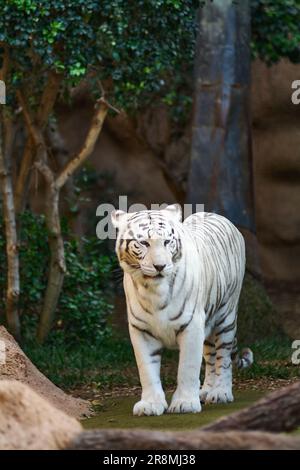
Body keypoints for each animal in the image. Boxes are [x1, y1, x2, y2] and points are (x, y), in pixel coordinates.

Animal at [111, 204, 252, 416]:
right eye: (143, 243)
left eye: (166, 241)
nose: (160, 266)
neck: (154, 291)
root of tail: (217, 216)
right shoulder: (141, 330)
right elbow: (147, 369)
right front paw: (150, 404)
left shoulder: (191, 325)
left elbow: (187, 367)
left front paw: (185, 403)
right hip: (208, 323)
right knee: (211, 357)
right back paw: (206, 391)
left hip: (225, 316)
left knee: (223, 357)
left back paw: (220, 393)